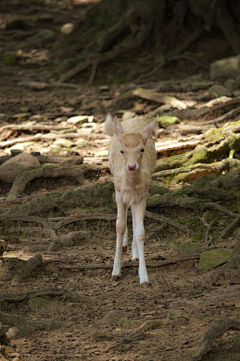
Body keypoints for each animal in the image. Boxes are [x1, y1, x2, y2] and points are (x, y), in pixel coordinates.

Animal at [106, 114, 157, 286]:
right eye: (122, 150)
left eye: (142, 149)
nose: (132, 166)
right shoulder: (119, 193)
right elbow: (119, 226)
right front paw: (115, 272)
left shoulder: (141, 195)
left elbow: (140, 231)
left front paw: (144, 278)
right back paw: (124, 245)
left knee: (134, 218)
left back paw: (134, 253)